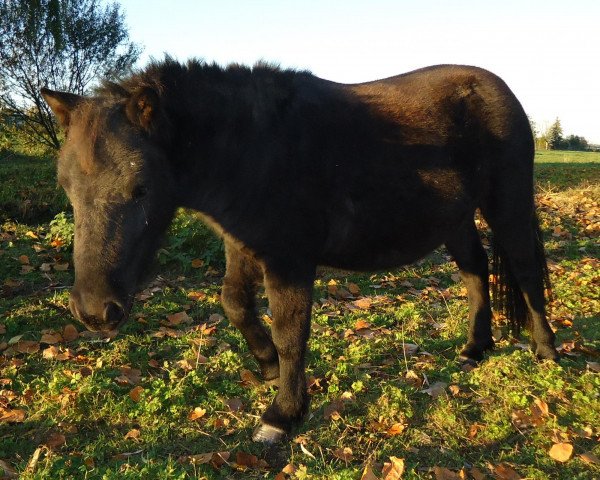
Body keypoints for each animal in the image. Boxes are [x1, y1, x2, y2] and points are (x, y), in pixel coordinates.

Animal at [42, 58, 556, 444]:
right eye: (66, 187)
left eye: (140, 188)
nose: (94, 312)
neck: (254, 149)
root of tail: (497, 88)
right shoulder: (243, 247)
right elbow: (234, 304)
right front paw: (268, 366)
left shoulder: (289, 261)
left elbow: (291, 332)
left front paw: (282, 414)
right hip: (455, 218)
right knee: (475, 271)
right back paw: (475, 348)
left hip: (506, 204)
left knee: (526, 271)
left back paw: (545, 349)